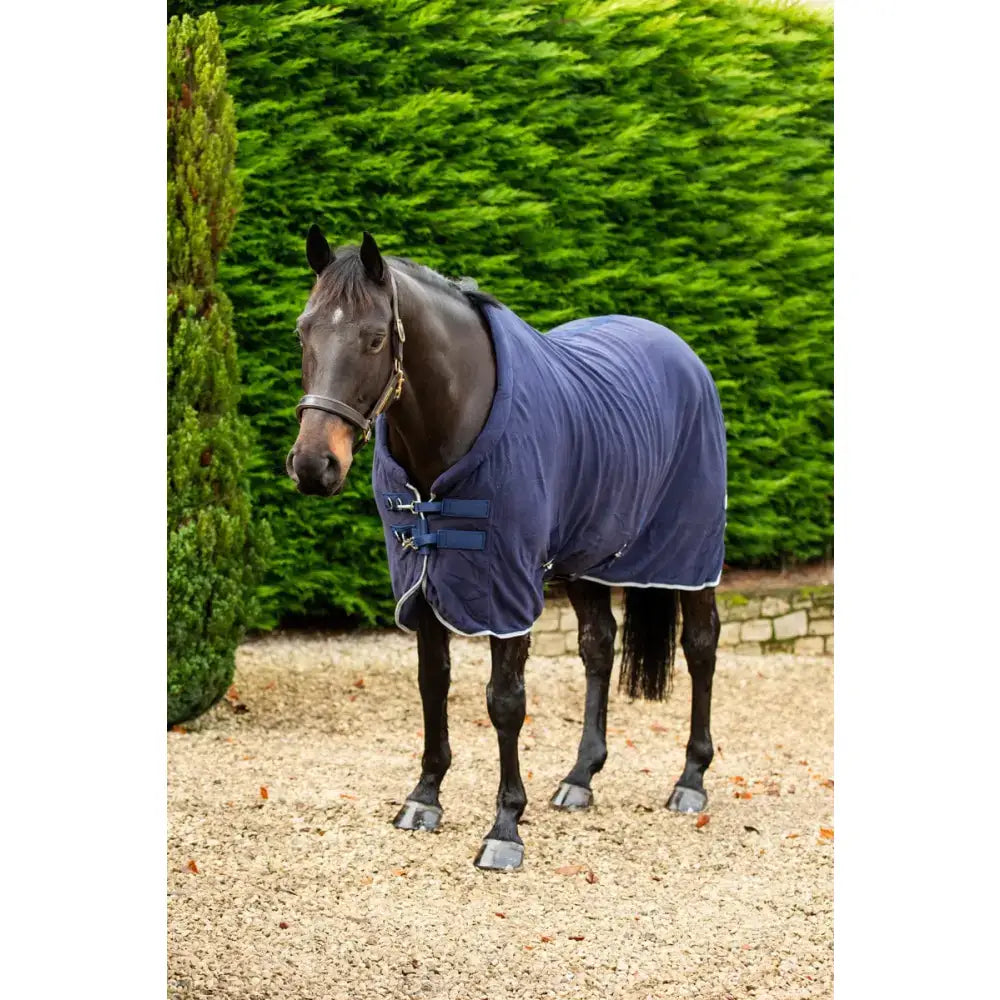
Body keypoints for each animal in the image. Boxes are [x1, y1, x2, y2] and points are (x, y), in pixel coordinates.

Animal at [286, 227, 726, 871]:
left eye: (374, 338)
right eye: (304, 330)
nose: (314, 466)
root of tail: (683, 354)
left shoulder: (506, 584)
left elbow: (505, 701)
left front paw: (505, 828)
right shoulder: (423, 581)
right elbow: (433, 683)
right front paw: (424, 797)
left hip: (690, 555)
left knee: (700, 646)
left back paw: (691, 779)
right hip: (586, 557)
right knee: (599, 646)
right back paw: (580, 777)